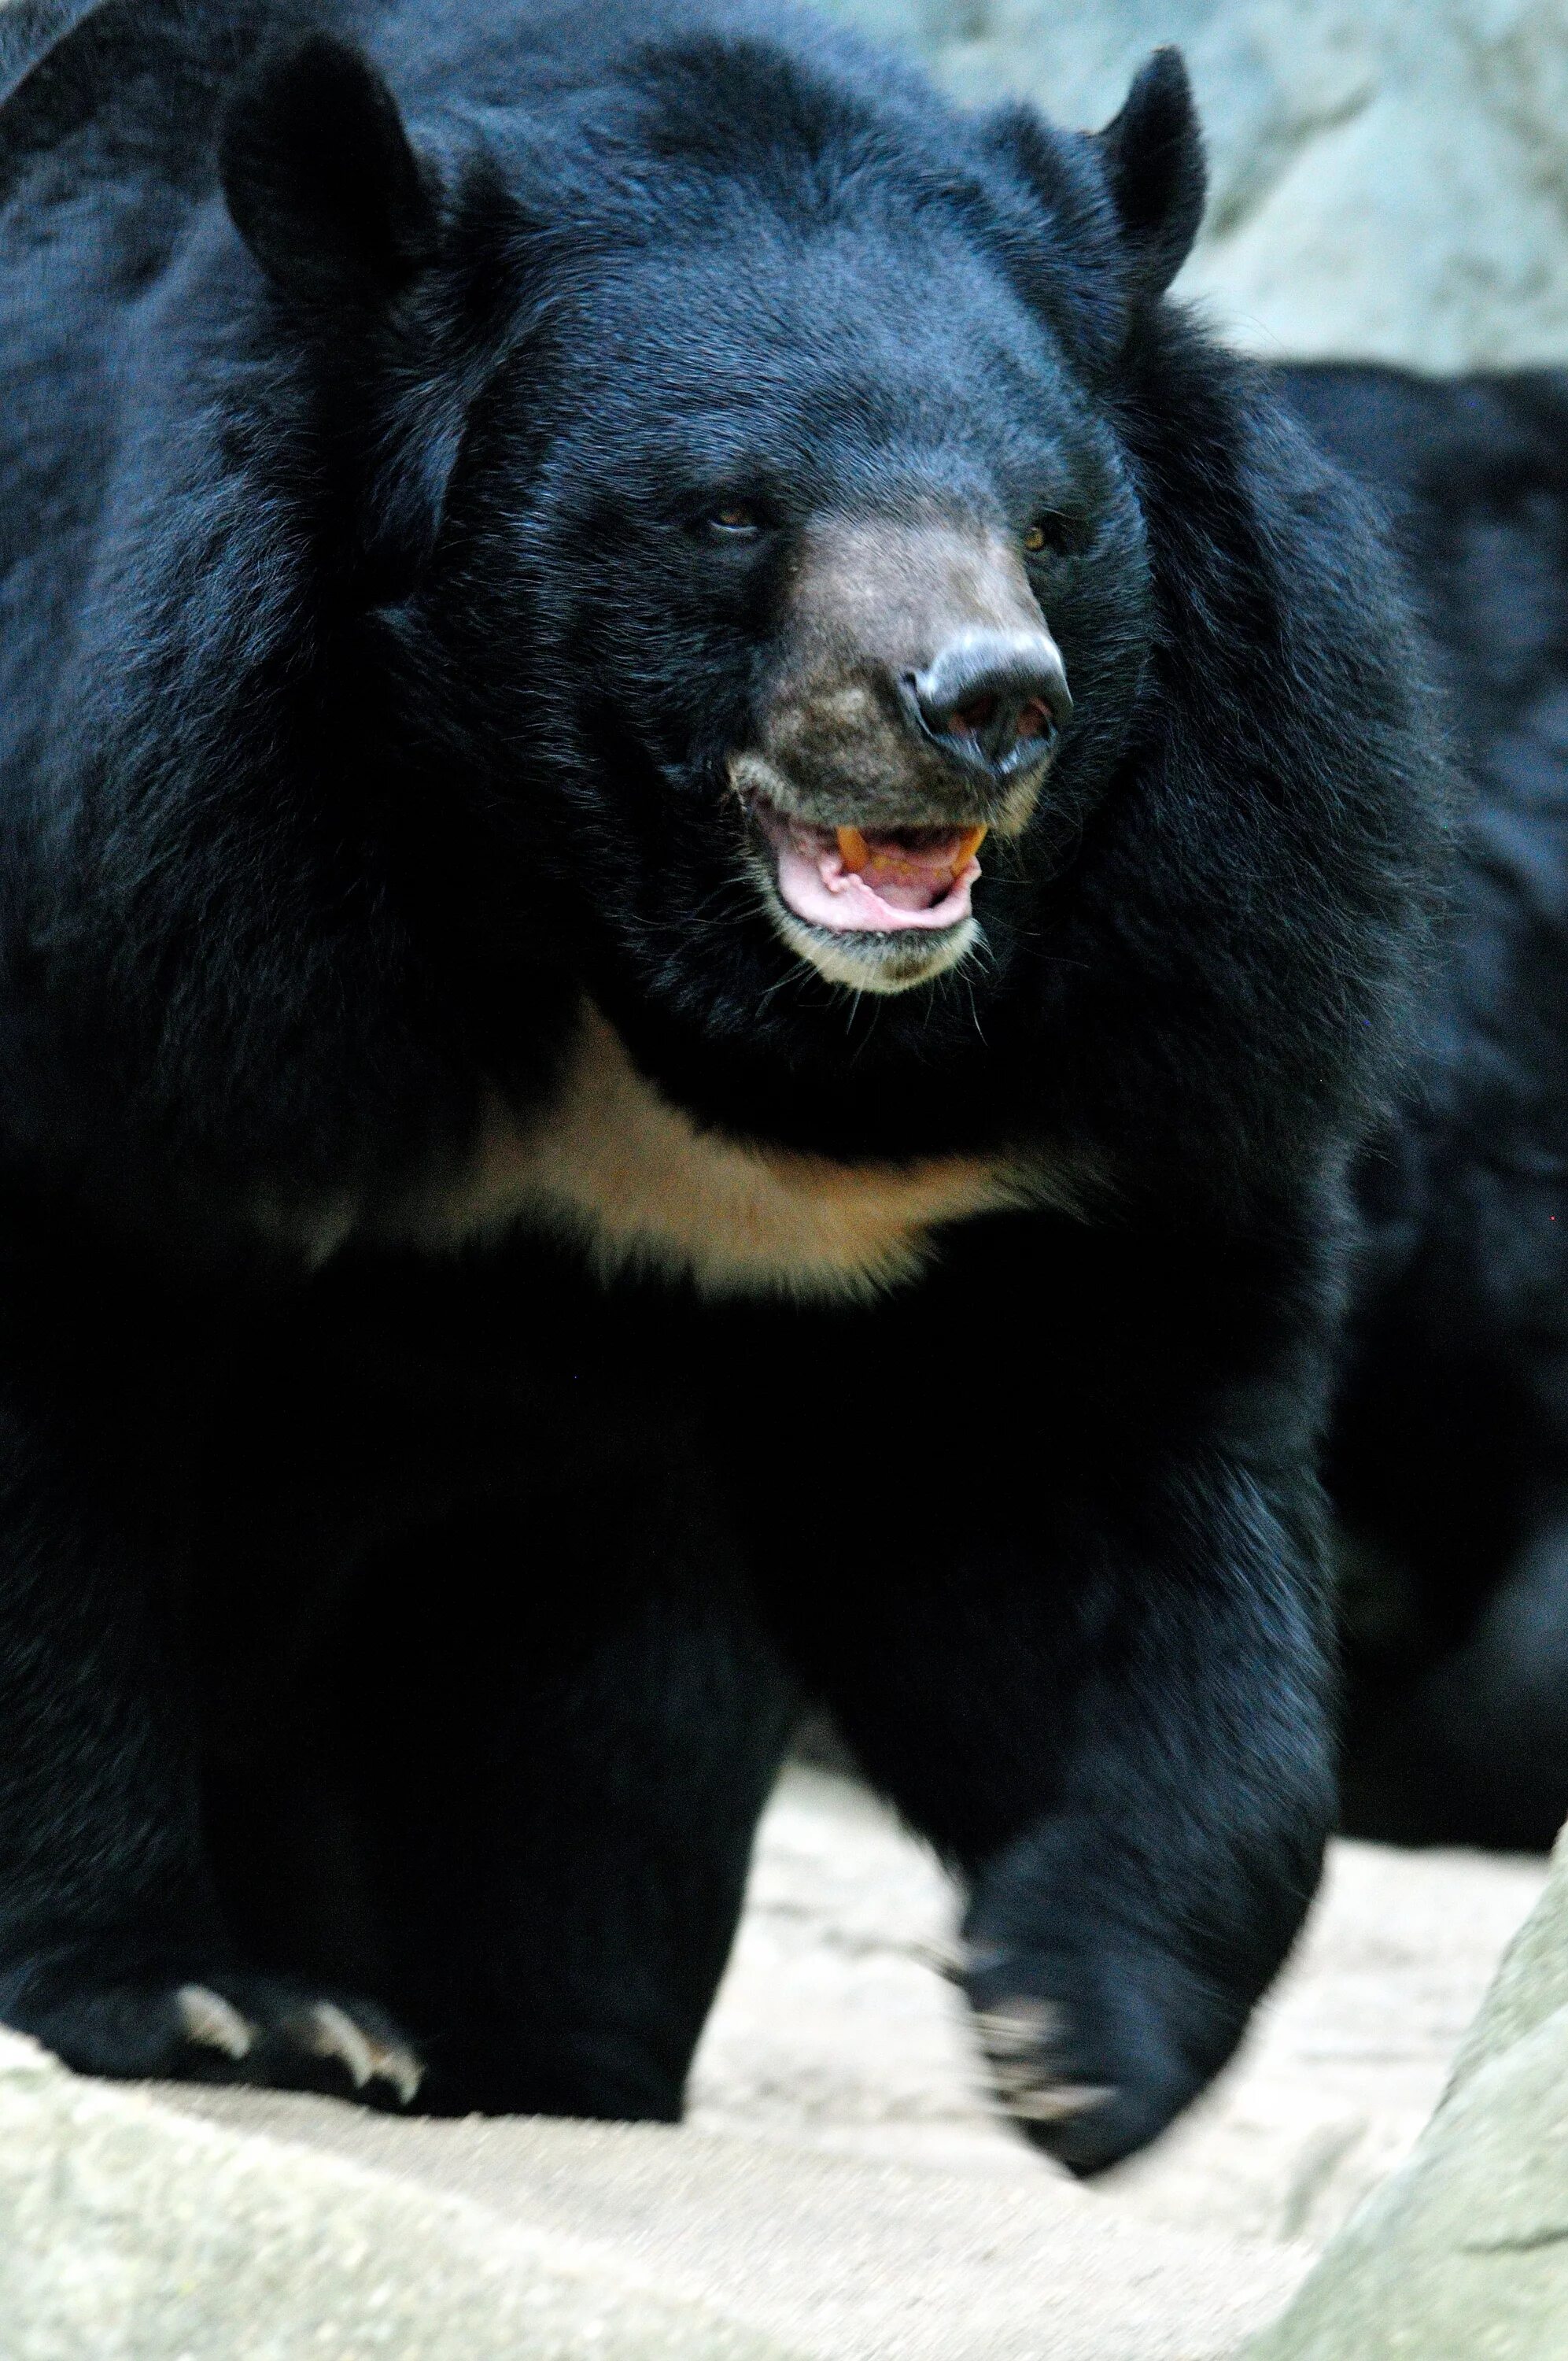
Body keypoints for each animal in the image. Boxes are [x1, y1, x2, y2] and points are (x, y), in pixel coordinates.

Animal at [0, 0, 1444, 2172]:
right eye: (728, 510)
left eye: (1049, 522)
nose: (982, 702)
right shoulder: (142, 903)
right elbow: (52, 1435)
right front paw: (188, 1998)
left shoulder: (1100, 1056)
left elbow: (1069, 1473)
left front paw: (1072, 2019)